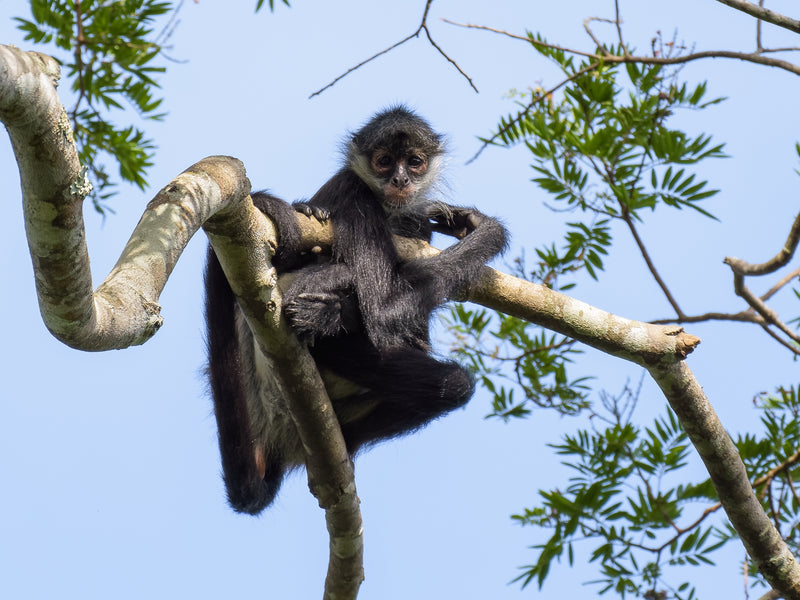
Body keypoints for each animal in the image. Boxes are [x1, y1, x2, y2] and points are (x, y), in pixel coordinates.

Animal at [204, 106, 508, 514]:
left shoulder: (414, 221)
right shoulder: (353, 190)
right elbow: (382, 310)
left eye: (415, 162)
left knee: (453, 385)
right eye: (383, 161)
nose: (399, 179)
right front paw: (488, 228)